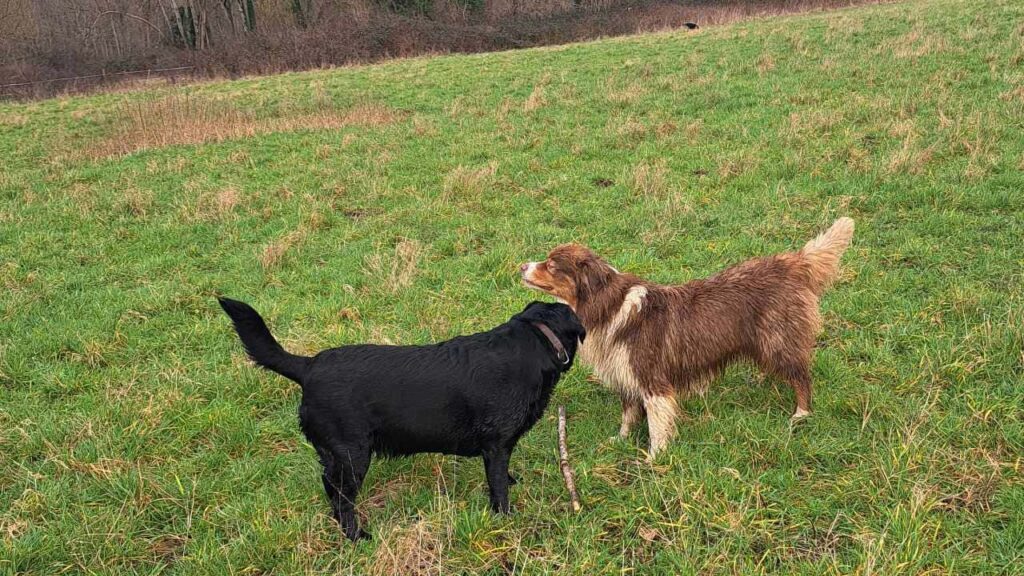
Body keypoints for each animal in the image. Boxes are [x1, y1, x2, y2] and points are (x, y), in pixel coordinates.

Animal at [216, 297, 585, 541]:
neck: (533, 341)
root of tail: (307, 367)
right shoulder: (496, 444)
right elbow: (497, 486)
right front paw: (506, 518)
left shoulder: (497, 448)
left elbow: (501, 476)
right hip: (353, 455)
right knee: (343, 499)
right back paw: (356, 536)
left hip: (337, 456)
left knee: (330, 488)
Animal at [520, 217, 856, 455]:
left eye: (552, 265)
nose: (522, 264)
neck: (607, 305)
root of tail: (791, 262)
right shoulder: (625, 375)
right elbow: (628, 416)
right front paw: (621, 441)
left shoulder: (652, 381)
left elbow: (656, 427)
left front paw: (654, 459)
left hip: (778, 342)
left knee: (802, 376)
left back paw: (800, 414)